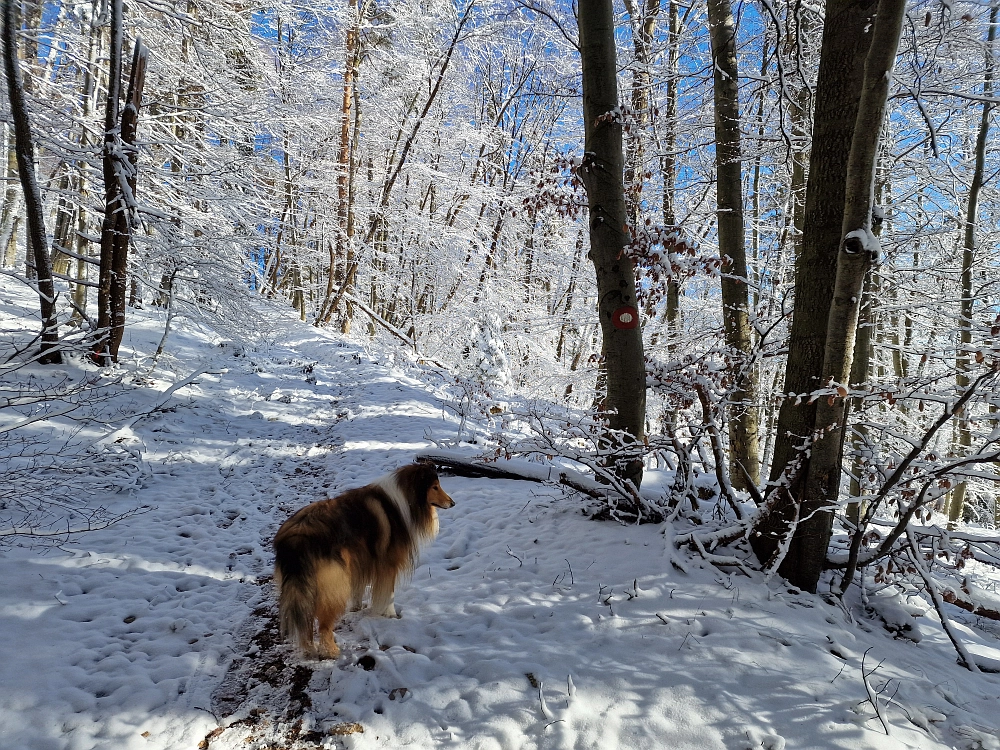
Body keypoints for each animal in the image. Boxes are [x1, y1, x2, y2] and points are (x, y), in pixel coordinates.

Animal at [272, 464, 456, 656]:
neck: (405, 499)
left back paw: (309, 650)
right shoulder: (388, 565)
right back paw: (332, 651)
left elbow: (358, 588)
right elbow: (389, 593)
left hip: (304, 586)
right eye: (434, 487)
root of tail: (296, 538)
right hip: (334, 584)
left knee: (306, 619)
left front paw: (357, 608)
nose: (452, 503)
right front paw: (391, 615)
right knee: (323, 624)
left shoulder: (360, 560)